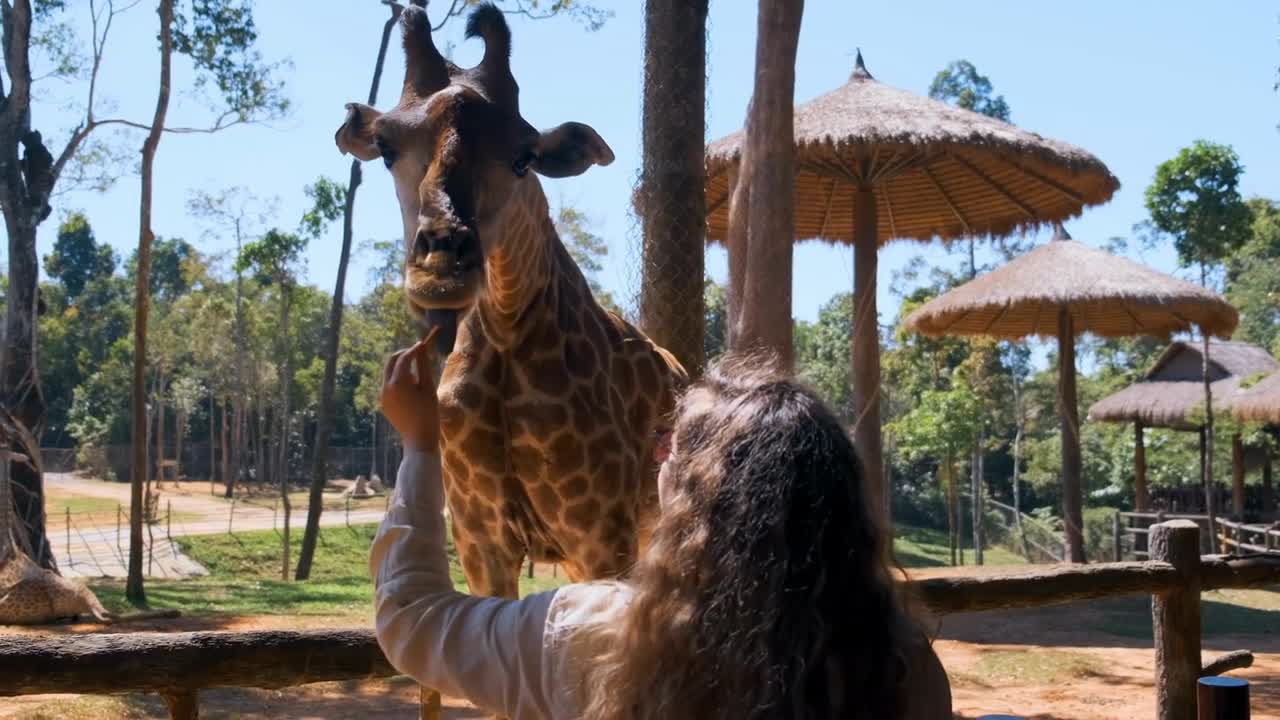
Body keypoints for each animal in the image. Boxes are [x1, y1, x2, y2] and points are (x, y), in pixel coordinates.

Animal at [335, 2, 686, 597]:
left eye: (525, 157)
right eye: (384, 147)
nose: (442, 269)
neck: (503, 337)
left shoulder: (601, 534)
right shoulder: (480, 541)